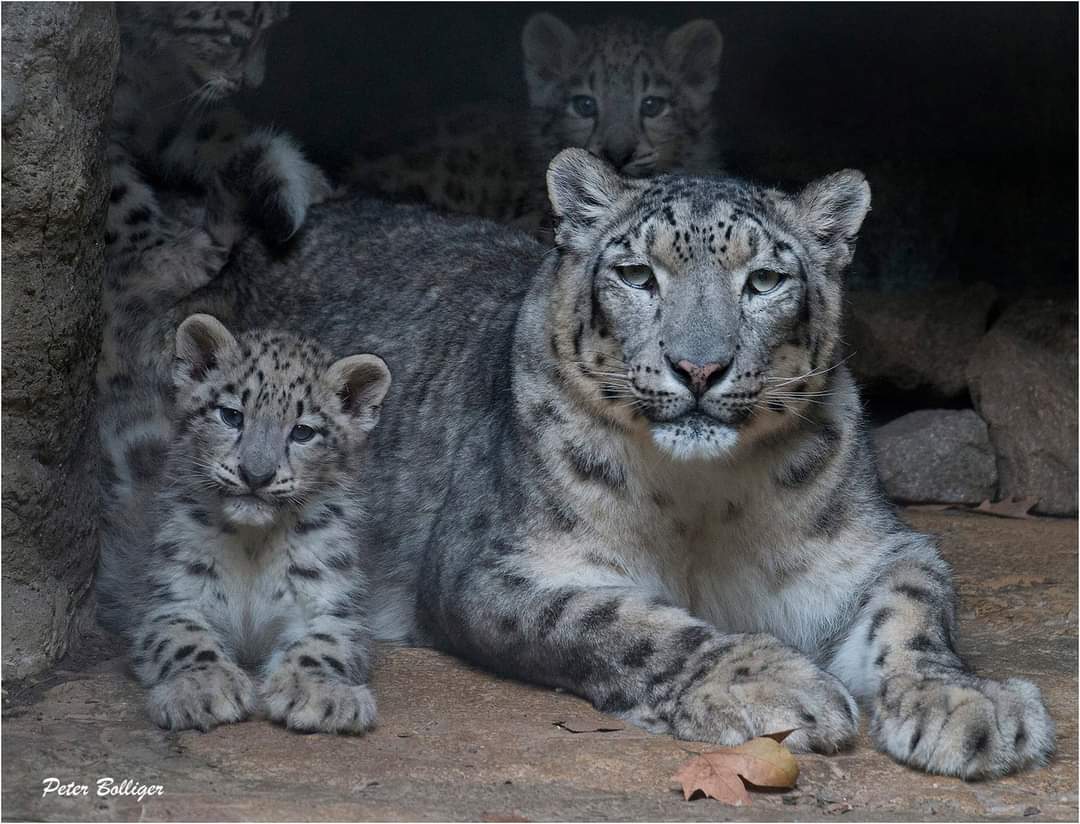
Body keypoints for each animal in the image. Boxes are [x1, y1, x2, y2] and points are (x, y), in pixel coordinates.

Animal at [205, 149, 1054, 778]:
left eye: (765, 280)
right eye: (638, 275)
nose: (699, 367)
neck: (702, 501)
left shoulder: (868, 547)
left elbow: (913, 608)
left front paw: (970, 707)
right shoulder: (496, 563)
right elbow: (623, 623)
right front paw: (773, 684)